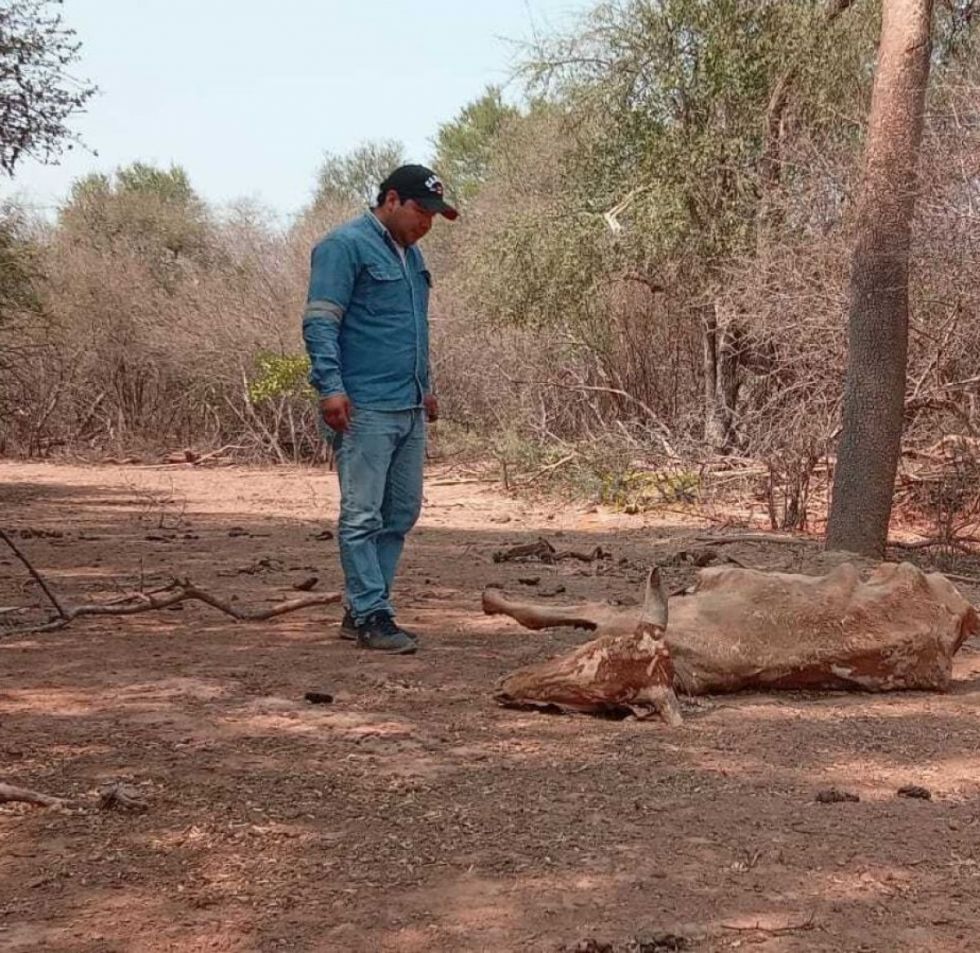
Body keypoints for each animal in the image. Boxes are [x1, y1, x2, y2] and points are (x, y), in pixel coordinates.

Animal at [484, 560, 980, 724]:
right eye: (587, 655)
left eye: (599, 700)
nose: (506, 686)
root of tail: (964, 614)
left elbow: (586, 606)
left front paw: (492, 598)